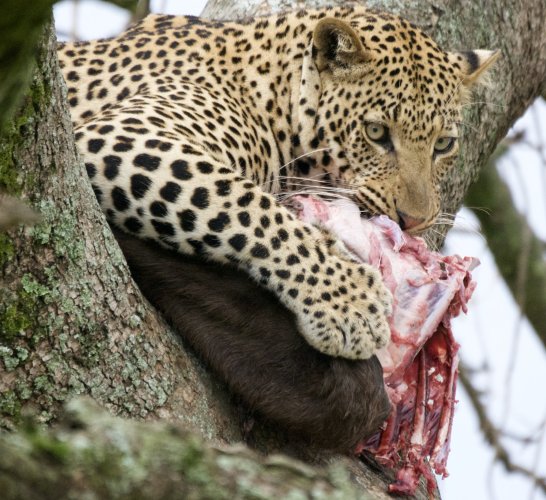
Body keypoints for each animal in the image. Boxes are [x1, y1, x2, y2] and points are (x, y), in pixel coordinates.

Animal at [57, 5, 496, 362]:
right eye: (376, 132)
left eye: (443, 144)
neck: (268, 94)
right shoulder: (124, 137)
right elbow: (250, 209)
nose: (414, 222)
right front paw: (350, 301)